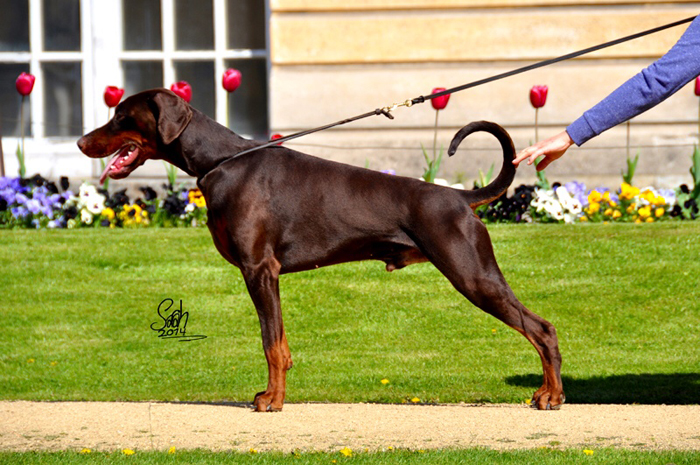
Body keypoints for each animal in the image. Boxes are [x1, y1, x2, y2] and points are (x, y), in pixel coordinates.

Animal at [79, 89, 568, 412]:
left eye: (122, 116)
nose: (82, 142)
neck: (221, 161)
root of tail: (460, 198)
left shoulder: (259, 269)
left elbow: (269, 343)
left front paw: (272, 402)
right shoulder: (267, 275)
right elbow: (281, 343)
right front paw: (275, 394)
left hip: (471, 272)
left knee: (540, 328)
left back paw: (551, 395)